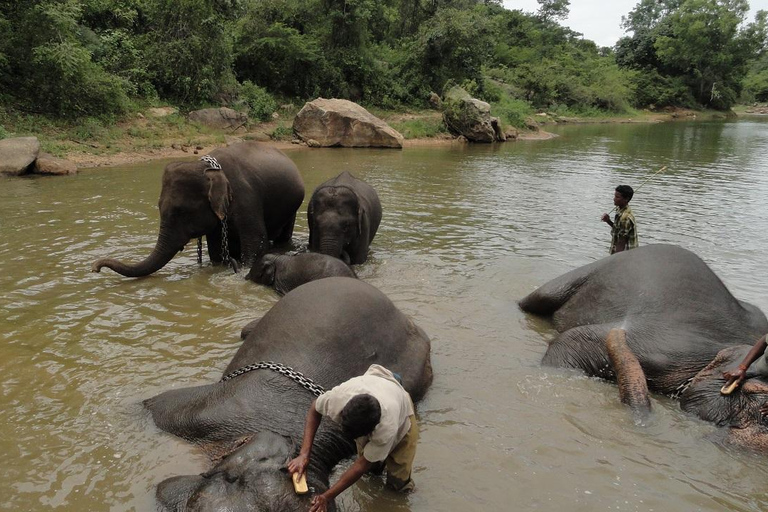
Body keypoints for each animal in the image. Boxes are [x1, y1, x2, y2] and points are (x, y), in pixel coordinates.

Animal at [91, 142, 304, 278]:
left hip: (292, 208)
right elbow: (215, 250)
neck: (207, 168)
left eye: (181, 211)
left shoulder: (247, 199)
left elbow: (255, 244)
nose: (95, 269)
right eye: (159, 207)